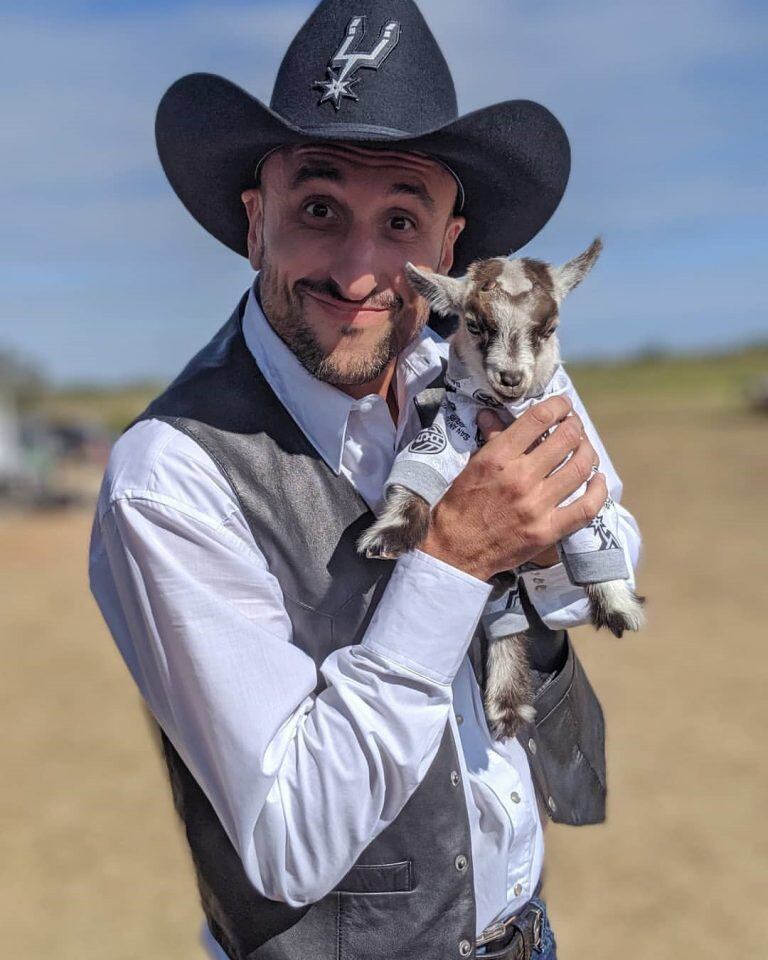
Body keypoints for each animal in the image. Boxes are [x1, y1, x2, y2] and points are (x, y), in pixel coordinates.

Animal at [356, 236, 644, 740]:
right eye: (474, 324)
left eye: (548, 328)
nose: (510, 378)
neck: (508, 413)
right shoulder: (452, 425)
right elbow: (418, 474)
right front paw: (388, 536)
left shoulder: (574, 467)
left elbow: (595, 530)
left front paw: (617, 606)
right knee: (502, 619)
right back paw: (509, 704)